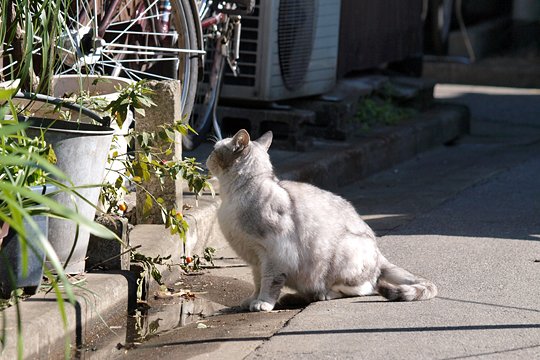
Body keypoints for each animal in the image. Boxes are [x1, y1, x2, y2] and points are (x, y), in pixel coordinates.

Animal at [207, 130, 438, 312]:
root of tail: (379, 253)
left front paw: (263, 303)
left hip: (345, 253)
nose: (207, 157)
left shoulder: (274, 254)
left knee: (364, 288)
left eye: (215, 149)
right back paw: (294, 297)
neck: (231, 198)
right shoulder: (256, 259)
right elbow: (257, 282)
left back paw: (323, 294)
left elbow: (269, 282)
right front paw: (252, 300)